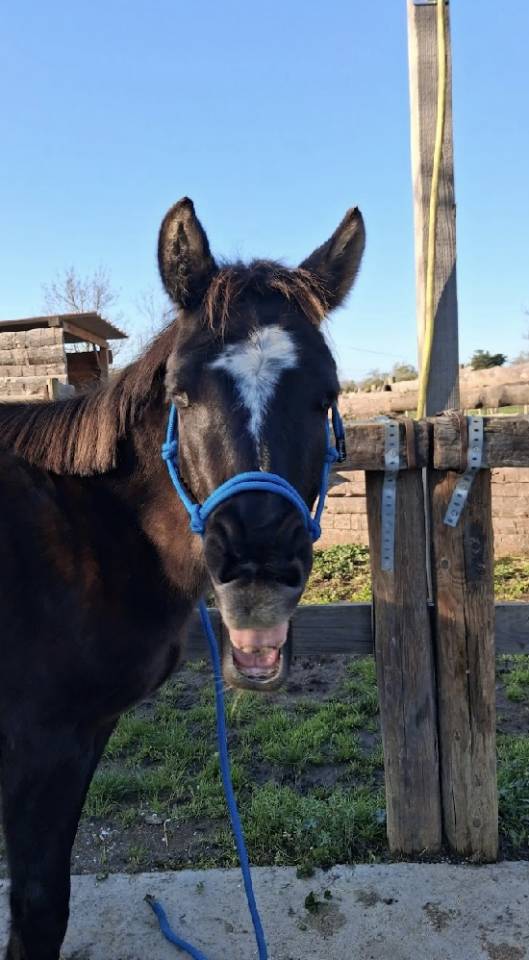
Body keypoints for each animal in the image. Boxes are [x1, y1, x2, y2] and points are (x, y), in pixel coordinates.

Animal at [0, 197, 365, 960]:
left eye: (325, 396)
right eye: (182, 392)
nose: (257, 562)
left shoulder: (80, 735)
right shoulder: (39, 743)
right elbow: (40, 908)